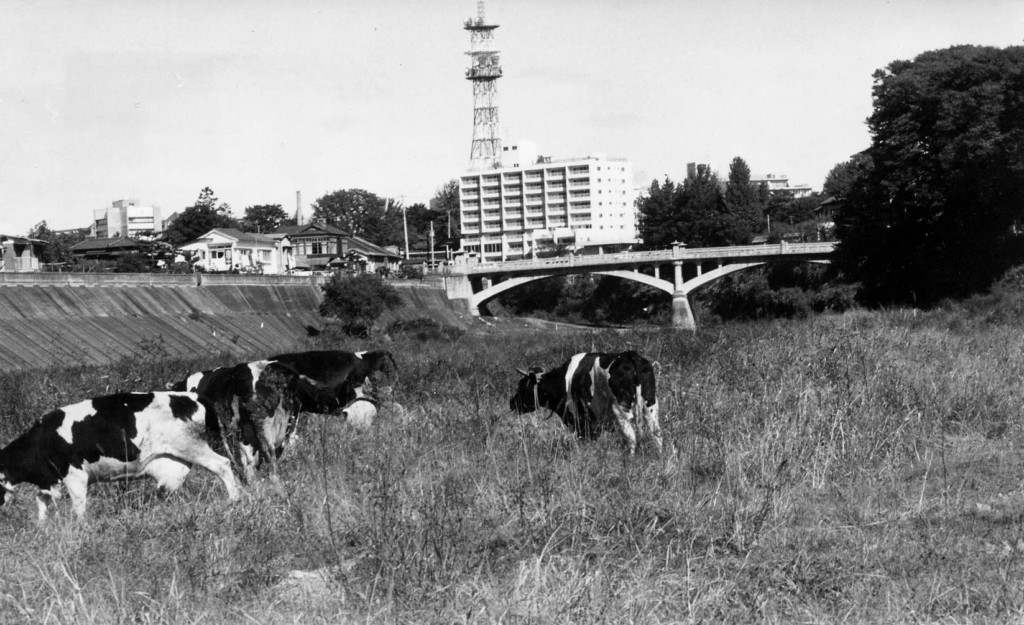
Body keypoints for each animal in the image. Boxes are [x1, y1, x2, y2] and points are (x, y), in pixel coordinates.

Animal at [0, 389, 239, 520]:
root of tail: (191, 395)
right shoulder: (49, 480)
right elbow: (41, 502)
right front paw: (42, 528)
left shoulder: (75, 476)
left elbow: (78, 509)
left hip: (192, 446)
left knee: (223, 464)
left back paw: (235, 500)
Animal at [509, 350, 663, 452]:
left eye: (522, 385)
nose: (511, 403)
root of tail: (630, 355)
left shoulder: (583, 423)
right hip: (651, 406)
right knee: (657, 435)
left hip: (621, 410)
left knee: (631, 438)